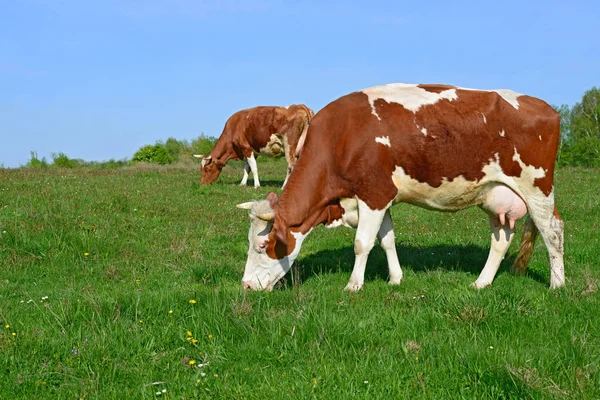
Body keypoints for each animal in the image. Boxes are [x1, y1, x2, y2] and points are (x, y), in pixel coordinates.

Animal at [237, 83, 564, 292]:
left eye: (262, 245)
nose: (247, 285)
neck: (341, 137)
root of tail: (545, 107)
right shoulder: (380, 198)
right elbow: (387, 240)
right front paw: (395, 279)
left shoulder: (374, 193)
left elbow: (362, 243)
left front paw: (353, 285)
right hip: (497, 196)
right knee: (501, 240)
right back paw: (481, 283)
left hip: (537, 187)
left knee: (552, 231)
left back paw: (557, 285)